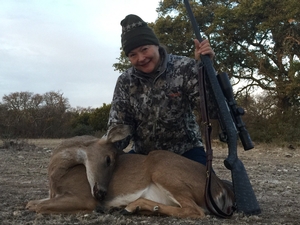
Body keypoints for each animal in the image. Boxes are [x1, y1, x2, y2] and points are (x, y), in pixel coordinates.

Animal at [26, 124, 234, 219]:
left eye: (109, 159)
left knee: (196, 210)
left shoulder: (83, 196)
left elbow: (37, 206)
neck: (57, 177)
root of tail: (220, 187)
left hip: (164, 170)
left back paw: (132, 207)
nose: (101, 193)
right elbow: (31, 202)